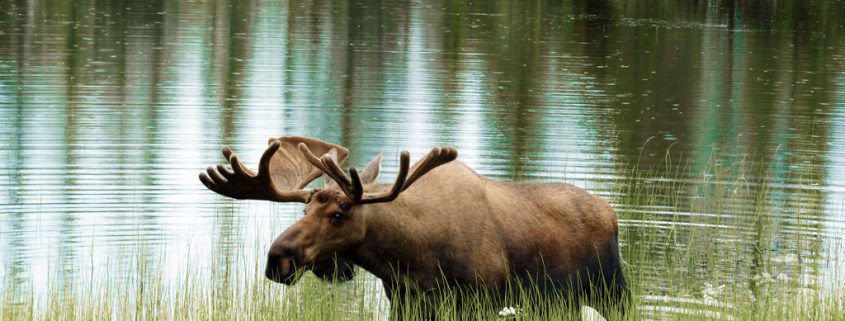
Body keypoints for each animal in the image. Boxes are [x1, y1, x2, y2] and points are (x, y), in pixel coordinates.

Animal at [199, 134, 628, 318]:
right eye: (303, 212)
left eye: (339, 213)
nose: (278, 258)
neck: (407, 258)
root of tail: (613, 216)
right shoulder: (405, 300)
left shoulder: (481, 300)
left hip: (613, 292)